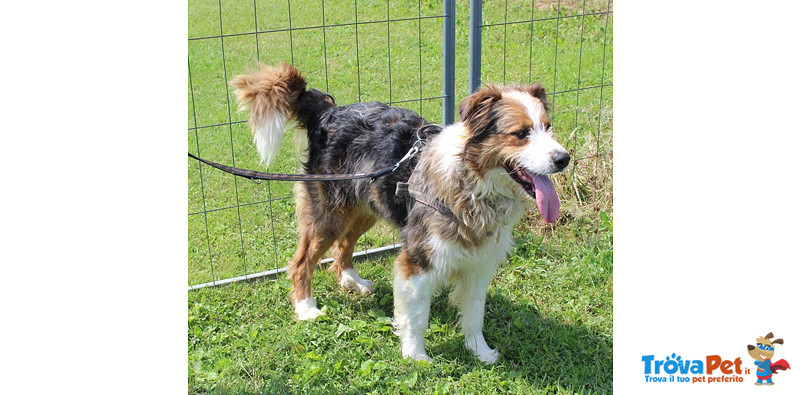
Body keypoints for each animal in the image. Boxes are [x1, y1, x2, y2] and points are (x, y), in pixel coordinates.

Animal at [230, 62, 568, 366]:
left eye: (548, 127)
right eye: (521, 133)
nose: (564, 158)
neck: (471, 182)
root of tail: (329, 111)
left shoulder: (479, 263)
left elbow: (474, 313)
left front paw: (480, 351)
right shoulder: (419, 261)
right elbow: (417, 316)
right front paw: (416, 356)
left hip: (365, 206)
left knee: (343, 247)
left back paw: (352, 280)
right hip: (330, 214)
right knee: (302, 262)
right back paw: (306, 308)